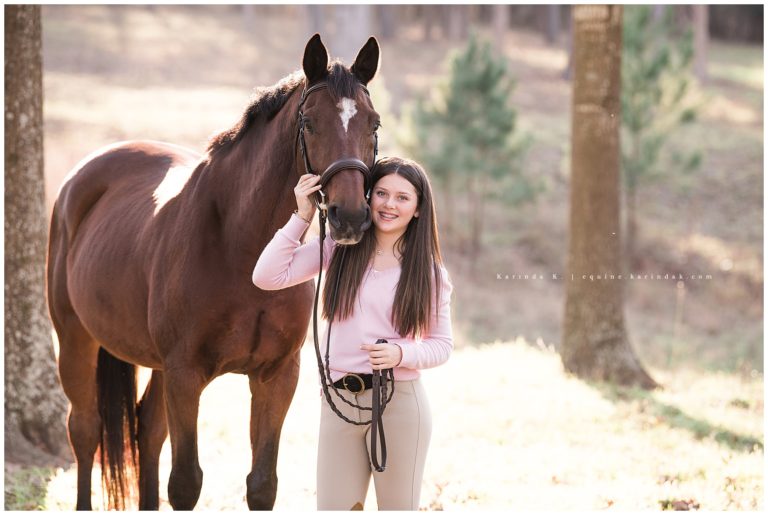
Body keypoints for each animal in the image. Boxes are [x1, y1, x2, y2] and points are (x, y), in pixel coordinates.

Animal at [46, 33, 381, 510]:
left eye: (373, 125)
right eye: (310, 123)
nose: (349, 217)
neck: (243, 249)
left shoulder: (277, 376)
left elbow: (262, 484)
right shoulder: (186, 375)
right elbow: (186, 483)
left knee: (148, 432)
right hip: (77, 338)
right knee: (86, 429)